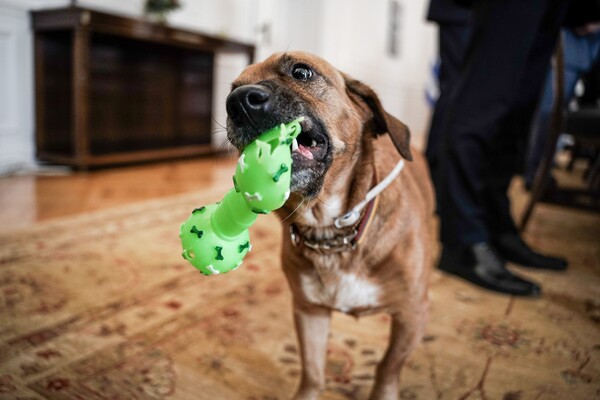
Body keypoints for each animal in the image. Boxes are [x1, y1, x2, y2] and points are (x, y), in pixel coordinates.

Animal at [227, 51, 434, 398]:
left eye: (301, 72)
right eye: (232, 88)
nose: (238, 102)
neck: (329, 232)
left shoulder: (412, 316)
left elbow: (387, 368)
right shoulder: (309, 311)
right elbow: (312, 371)